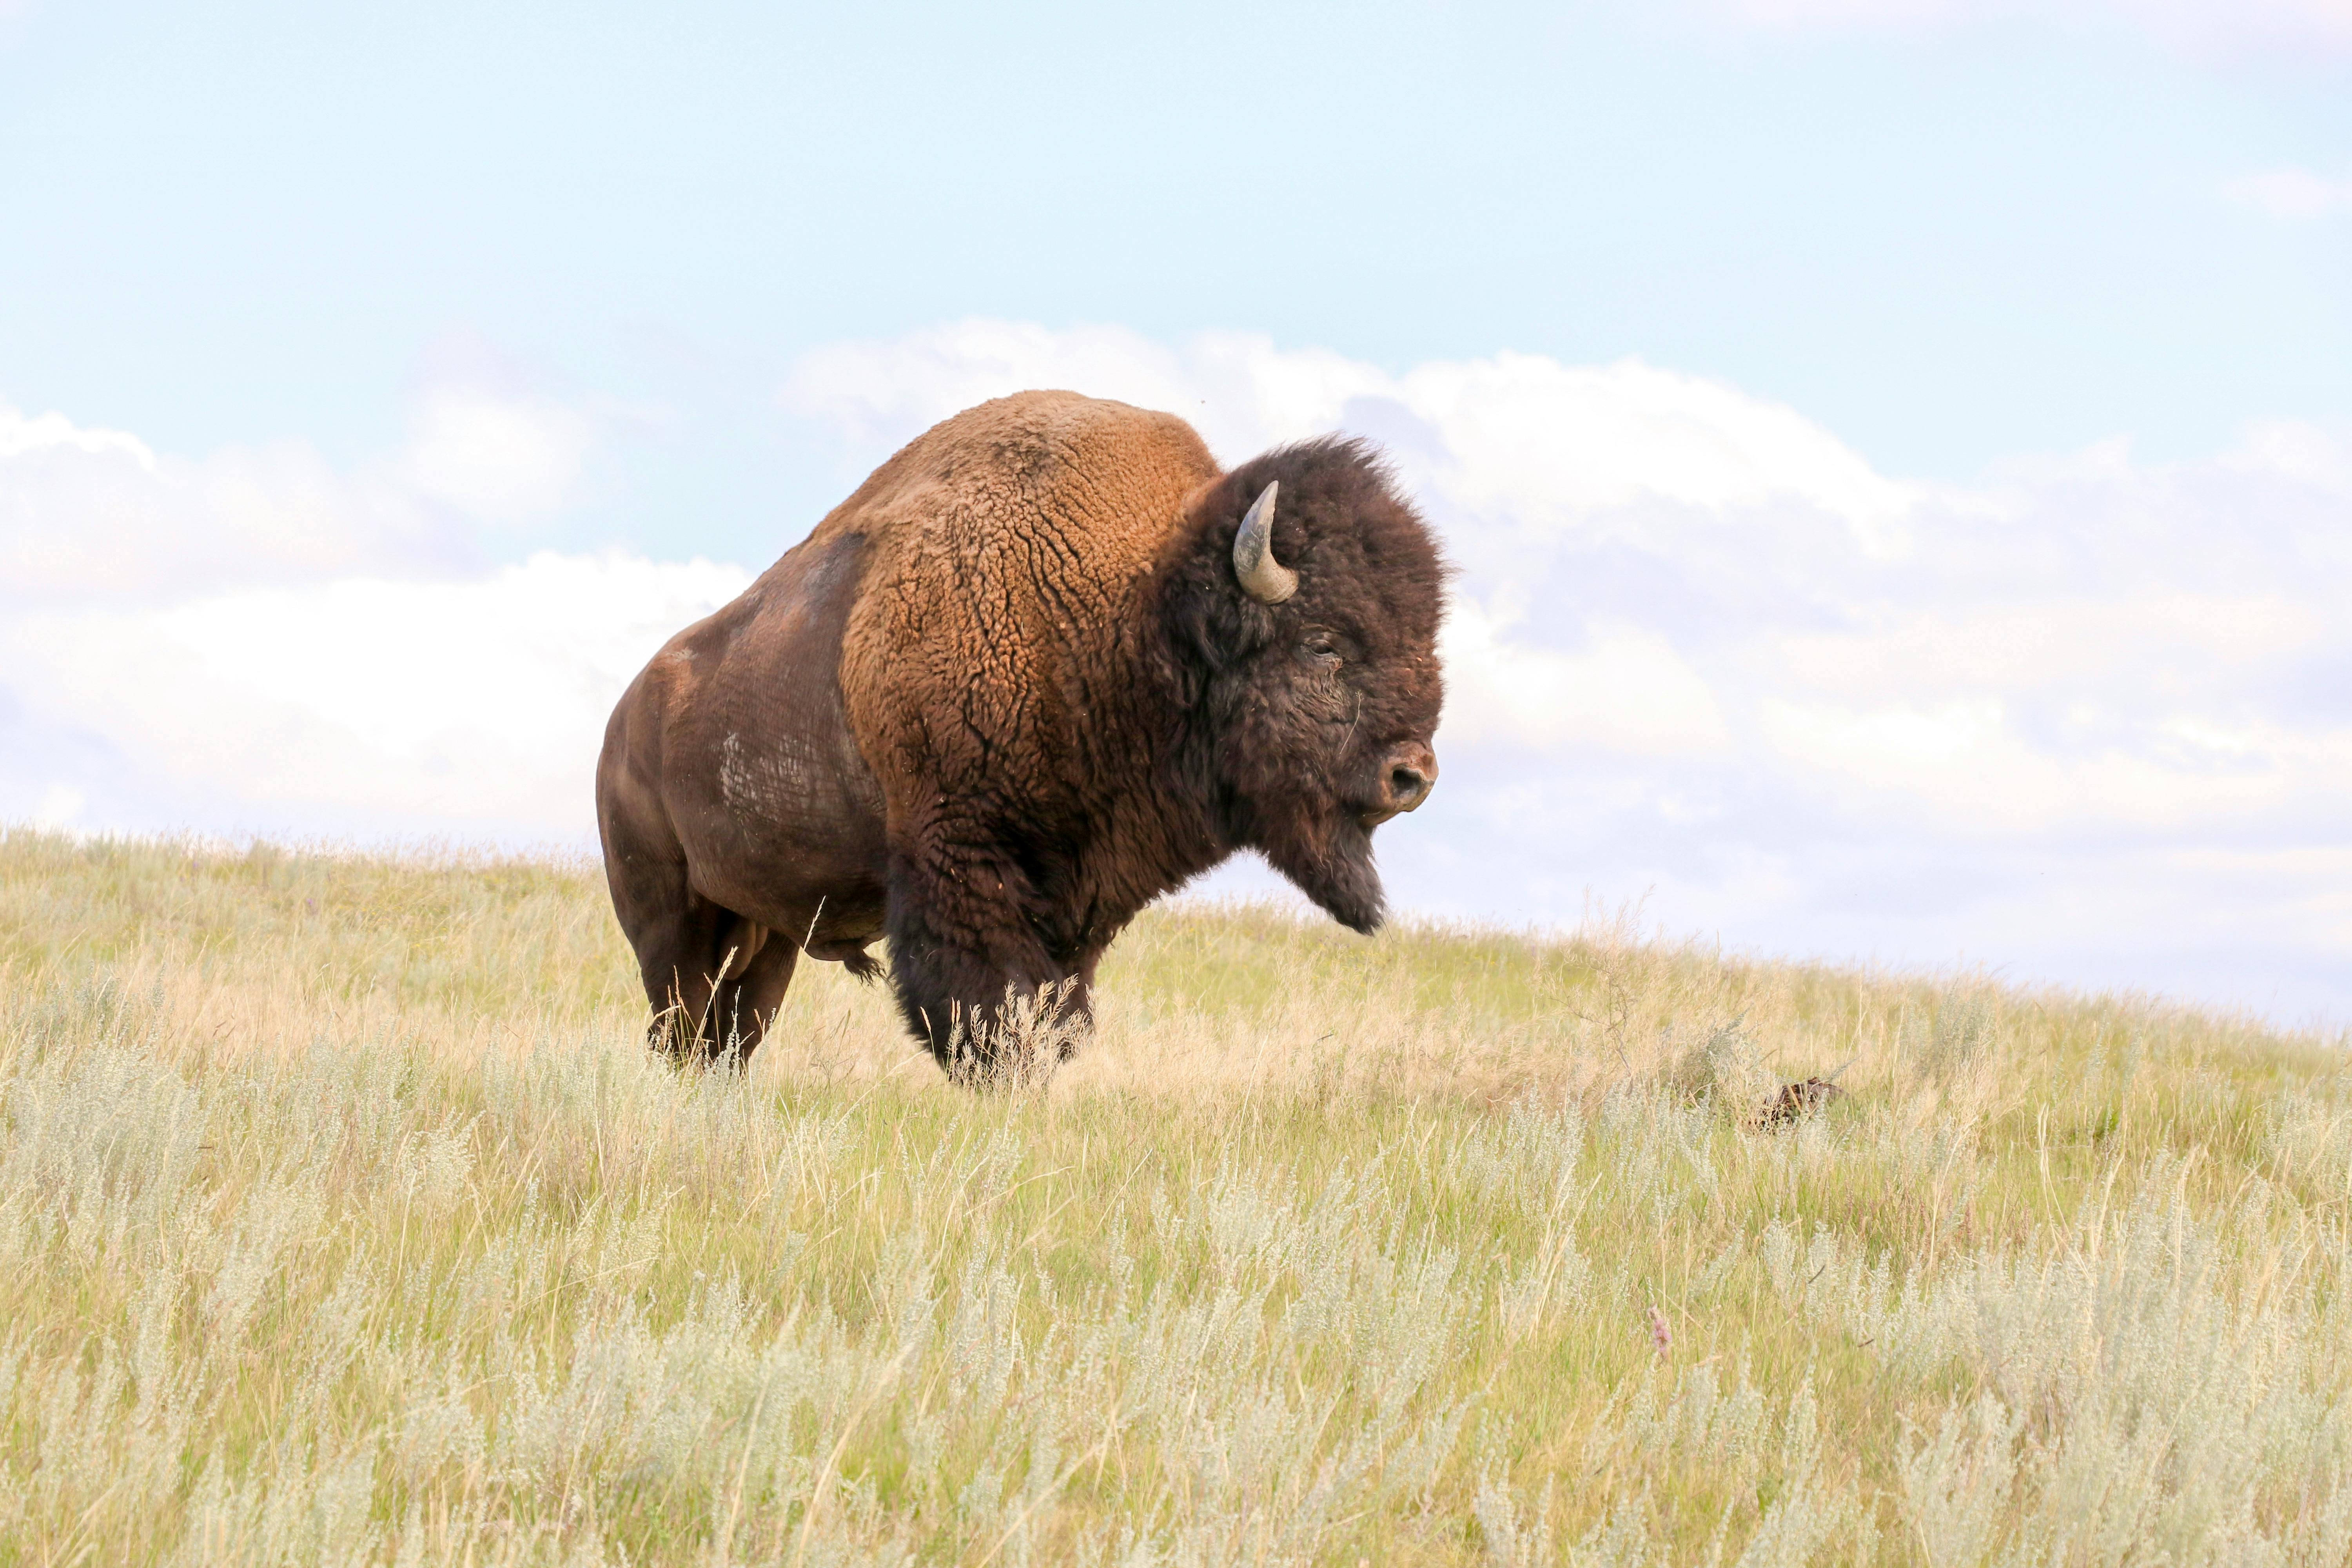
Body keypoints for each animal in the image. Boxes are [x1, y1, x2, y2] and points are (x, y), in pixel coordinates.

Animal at [595, 390, 1445, 1080]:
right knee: (679, 1022)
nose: (1413, 775)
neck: (1126, 613)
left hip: (770, 929)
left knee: (731, 1033)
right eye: (1323, 643)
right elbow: (993, 1020)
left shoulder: (1079, 908)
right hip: (665, 913)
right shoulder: (964, 870)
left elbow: (1055, 1016)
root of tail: (623, 720)